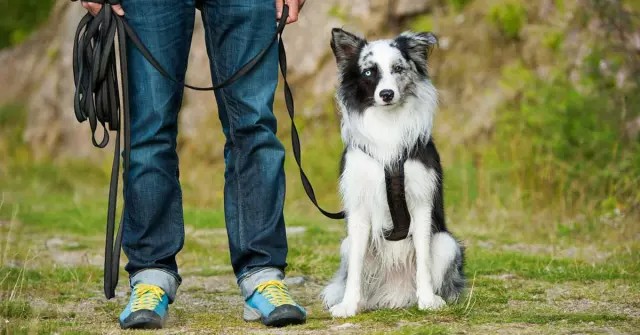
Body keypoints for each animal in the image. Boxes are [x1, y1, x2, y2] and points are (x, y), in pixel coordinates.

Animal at [320, 28, 464, 318]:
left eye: (398, 69)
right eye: (368, 72)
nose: (386, 94)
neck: (387, 124)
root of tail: (394, 293)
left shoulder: (421, 203)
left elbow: (423, 260)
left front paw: (427, 300)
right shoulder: (359, 208)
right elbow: (355, 270)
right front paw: (349, 305)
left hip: (447, 243)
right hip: (346, 244)